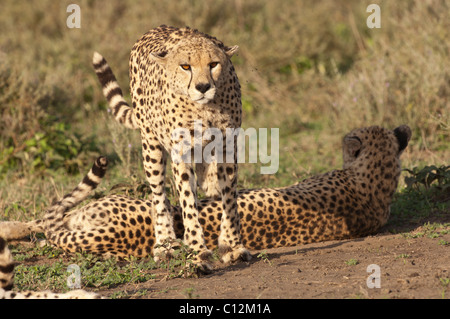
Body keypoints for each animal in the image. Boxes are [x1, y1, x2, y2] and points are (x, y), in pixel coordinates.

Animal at [91, 26, 250, 268]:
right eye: (185, 66)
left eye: (213, 64)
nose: (203, 87)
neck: (205, 108)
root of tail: (153, 30)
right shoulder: (181, 152)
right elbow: (188, 201)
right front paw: (198, 250)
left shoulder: (227, 146)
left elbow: (229, 198)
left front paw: (231, 245)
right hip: (151, 146)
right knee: (158, 196)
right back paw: (165, 243)